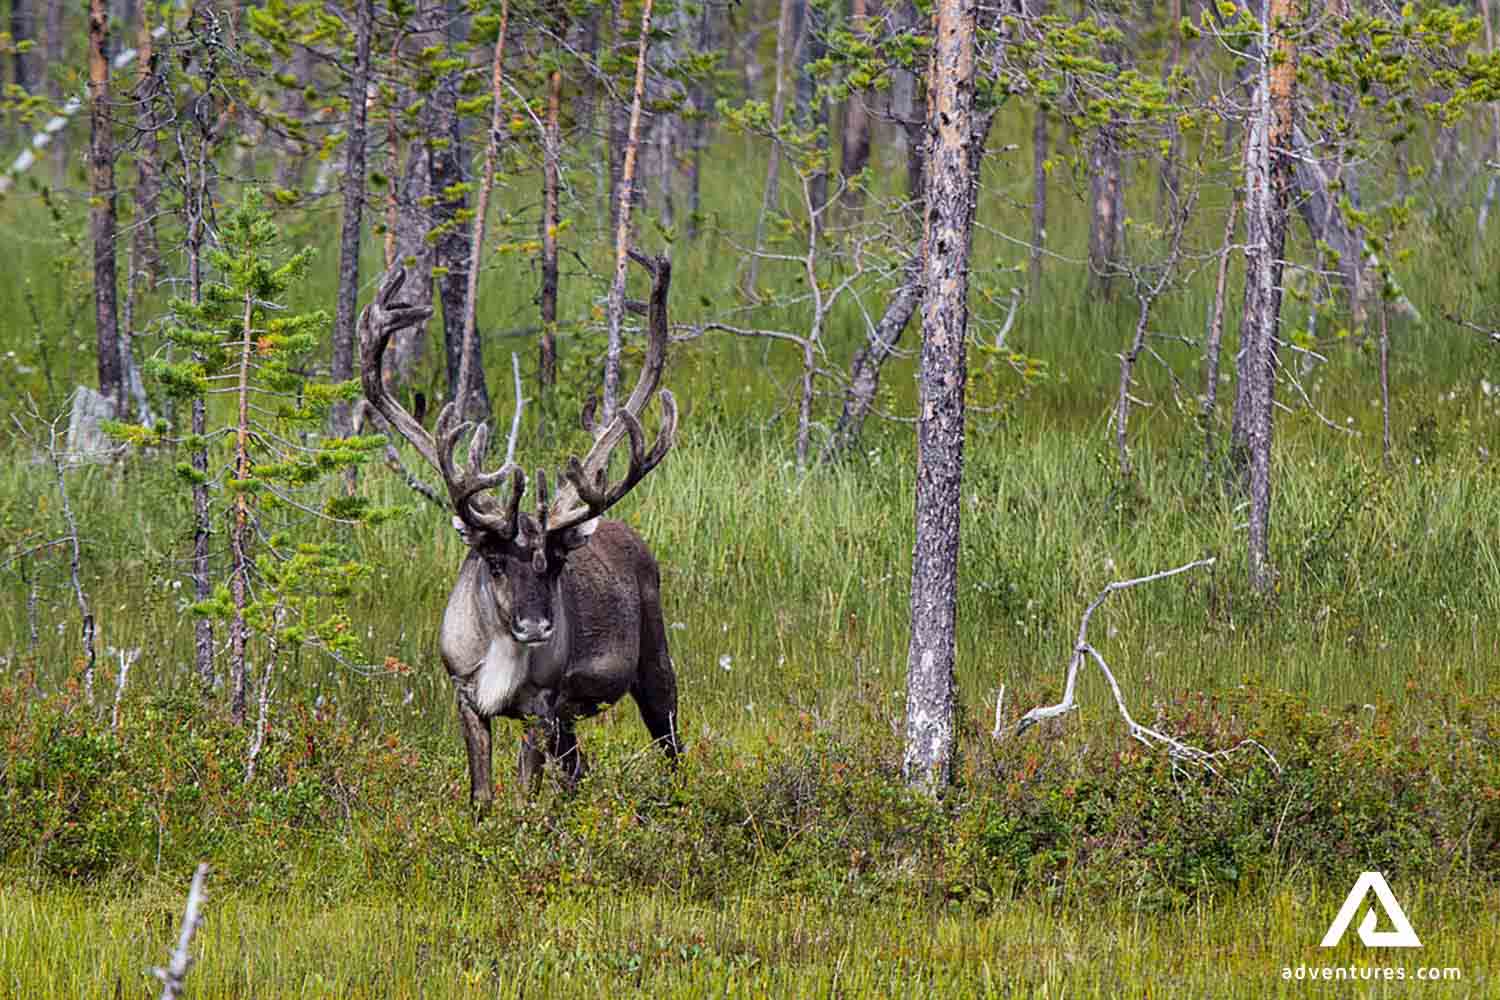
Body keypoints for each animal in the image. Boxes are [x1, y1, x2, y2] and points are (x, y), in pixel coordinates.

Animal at [358, 255, 682, 810]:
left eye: (556, 565)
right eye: (494, 563)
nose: (535, 627)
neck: (501, 660)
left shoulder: (542, 705)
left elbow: (527, 795)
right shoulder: (465, 697)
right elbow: (483, 796)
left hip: (652, 665)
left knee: (672, 743)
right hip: (571, 718)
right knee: (578, 769)